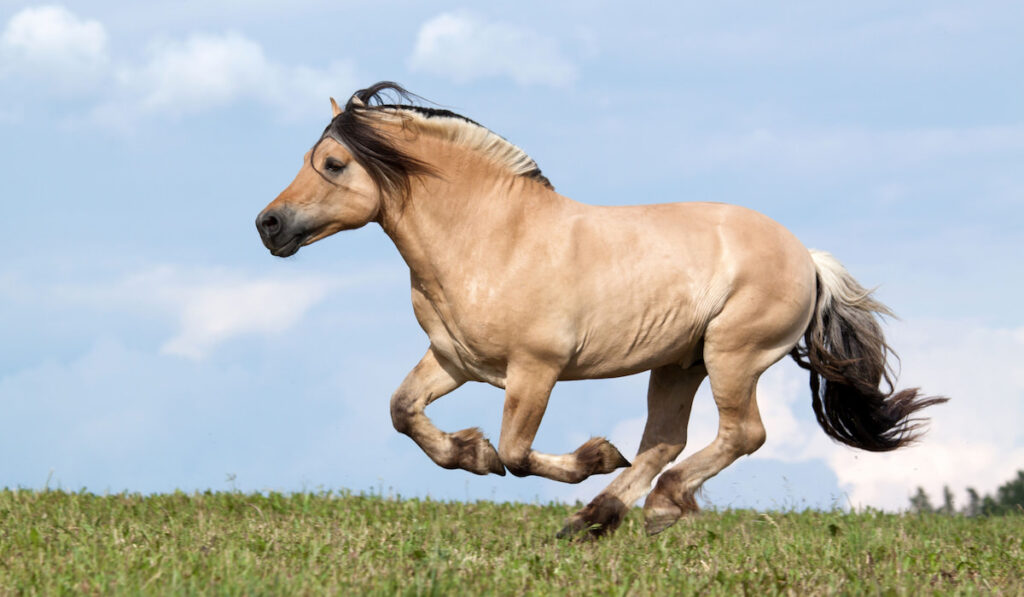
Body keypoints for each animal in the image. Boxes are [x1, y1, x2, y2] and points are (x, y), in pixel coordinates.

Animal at [253, 82, 942, 536]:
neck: (492, 236)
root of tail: (807, 257)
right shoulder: (453, 359)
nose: (268, 225)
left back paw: (655, 506)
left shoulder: (536, 369)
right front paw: (469, 452)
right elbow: (404, 412)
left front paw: (585, 456)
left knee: (740, 434)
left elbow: (517, 453)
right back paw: (596, 518)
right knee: (664, 440)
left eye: (333, 163)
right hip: (680, 363)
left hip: (732, 356)